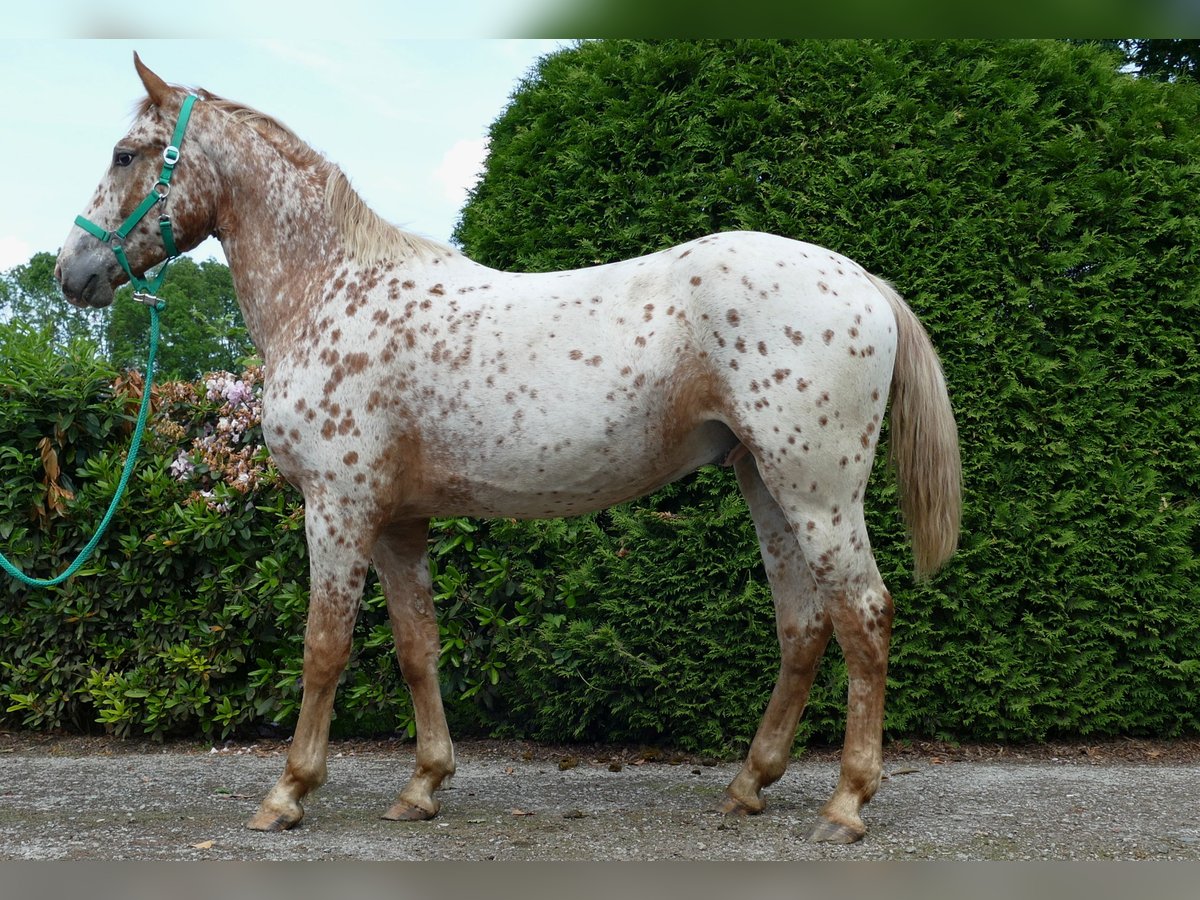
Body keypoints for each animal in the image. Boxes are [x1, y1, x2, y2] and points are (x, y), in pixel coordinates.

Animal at [54, 56, 964, 844]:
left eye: (126, 153)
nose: (73, 273)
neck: (331, 290)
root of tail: (862, 282)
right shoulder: (397, 522)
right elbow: (417, 648)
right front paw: (422, 785)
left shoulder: (338, 510)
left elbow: (323, 648)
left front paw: (288, 793)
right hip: (767, 486)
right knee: (804, 625)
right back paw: (750, 785)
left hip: (819, 493)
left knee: (864, 615)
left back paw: (846, 803)